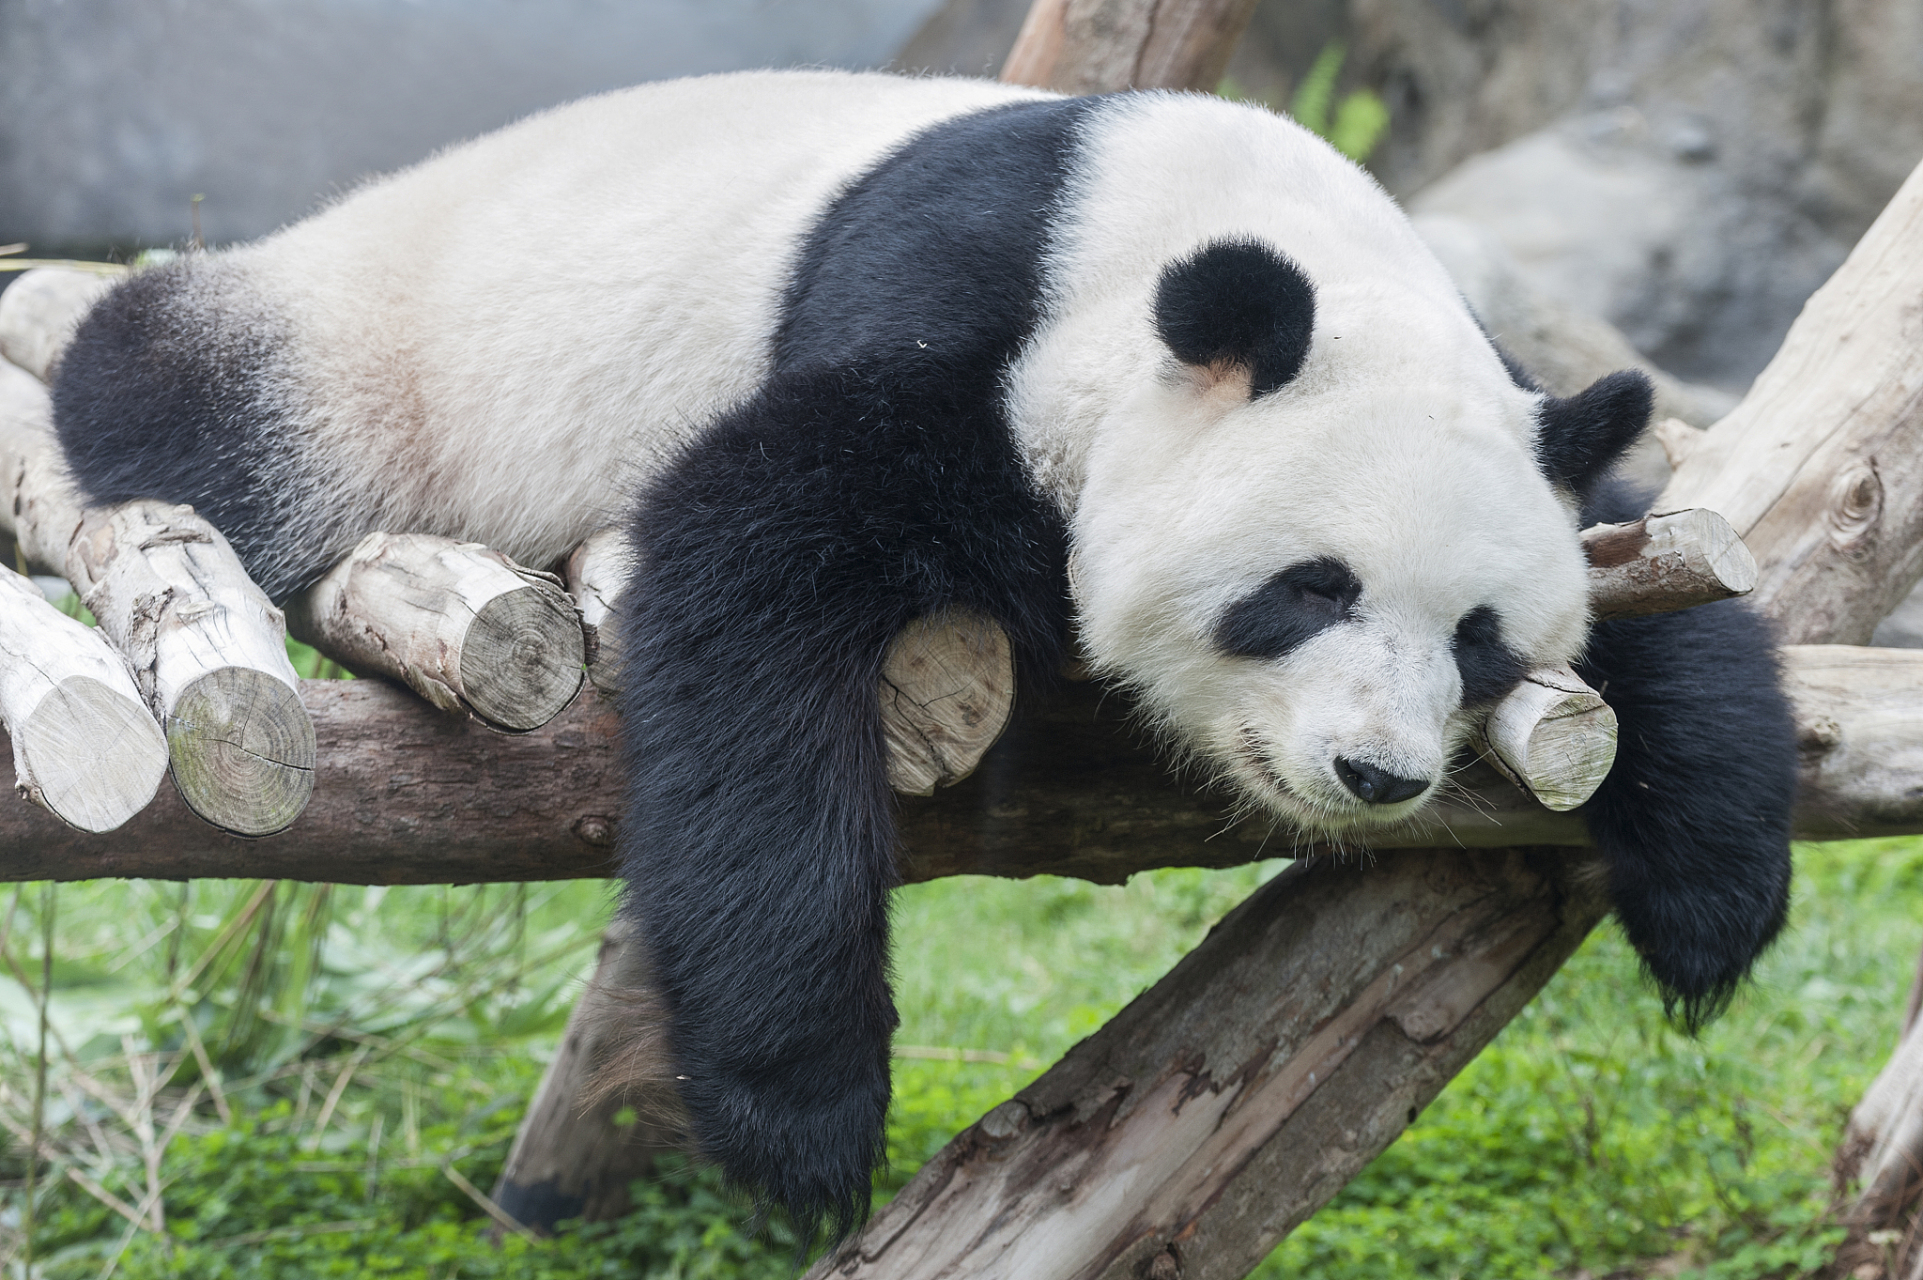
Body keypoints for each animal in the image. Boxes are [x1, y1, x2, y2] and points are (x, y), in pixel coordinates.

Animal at [48, 72, 1799, 1237]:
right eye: (1305, 591)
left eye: (1480, 644)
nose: (1368, 772)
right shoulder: (962, 324)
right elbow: (744, 577)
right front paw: (806, 1121)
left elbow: (1656, 549)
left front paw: (1712, 895)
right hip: (366, 356)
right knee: (176, 395)